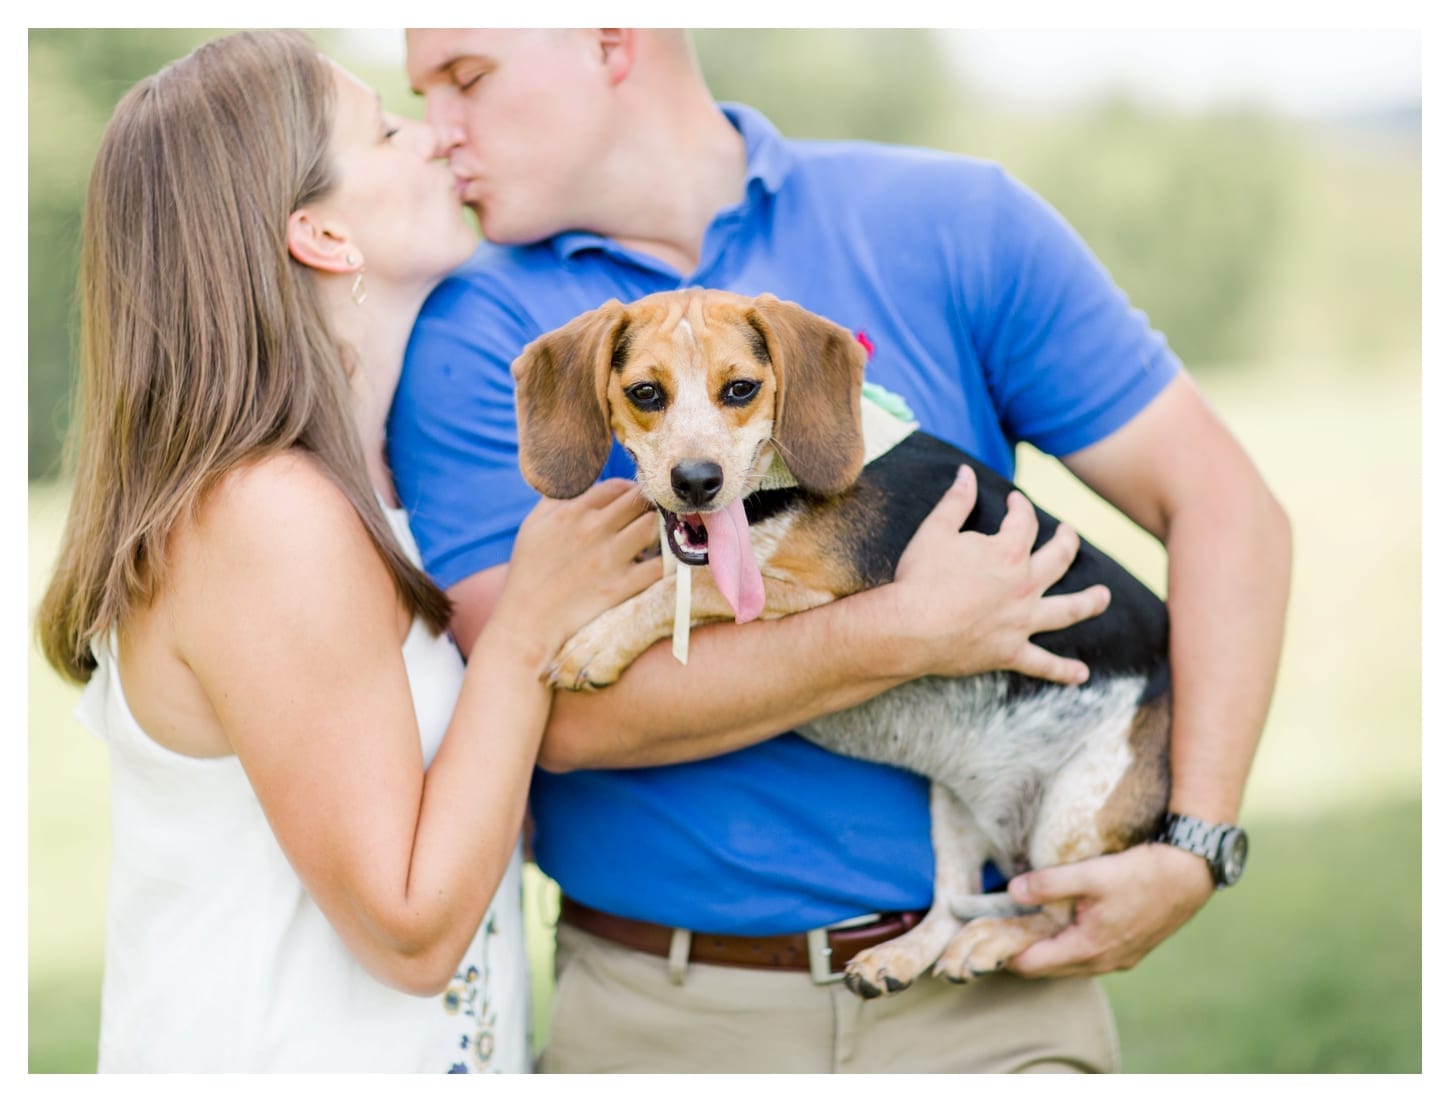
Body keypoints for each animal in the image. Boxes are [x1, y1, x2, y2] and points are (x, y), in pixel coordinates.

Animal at [510, 288, 1165, 991]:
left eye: (740, 388)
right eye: (645, 392)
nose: (696, 481)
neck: (771, 488)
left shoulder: (816, 596)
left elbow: (691, 588)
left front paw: (596, 643)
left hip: (1075, 814)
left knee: (1059, 913)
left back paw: (992, 940)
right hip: (954, 803)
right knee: (950, 907)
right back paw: (900, 958)